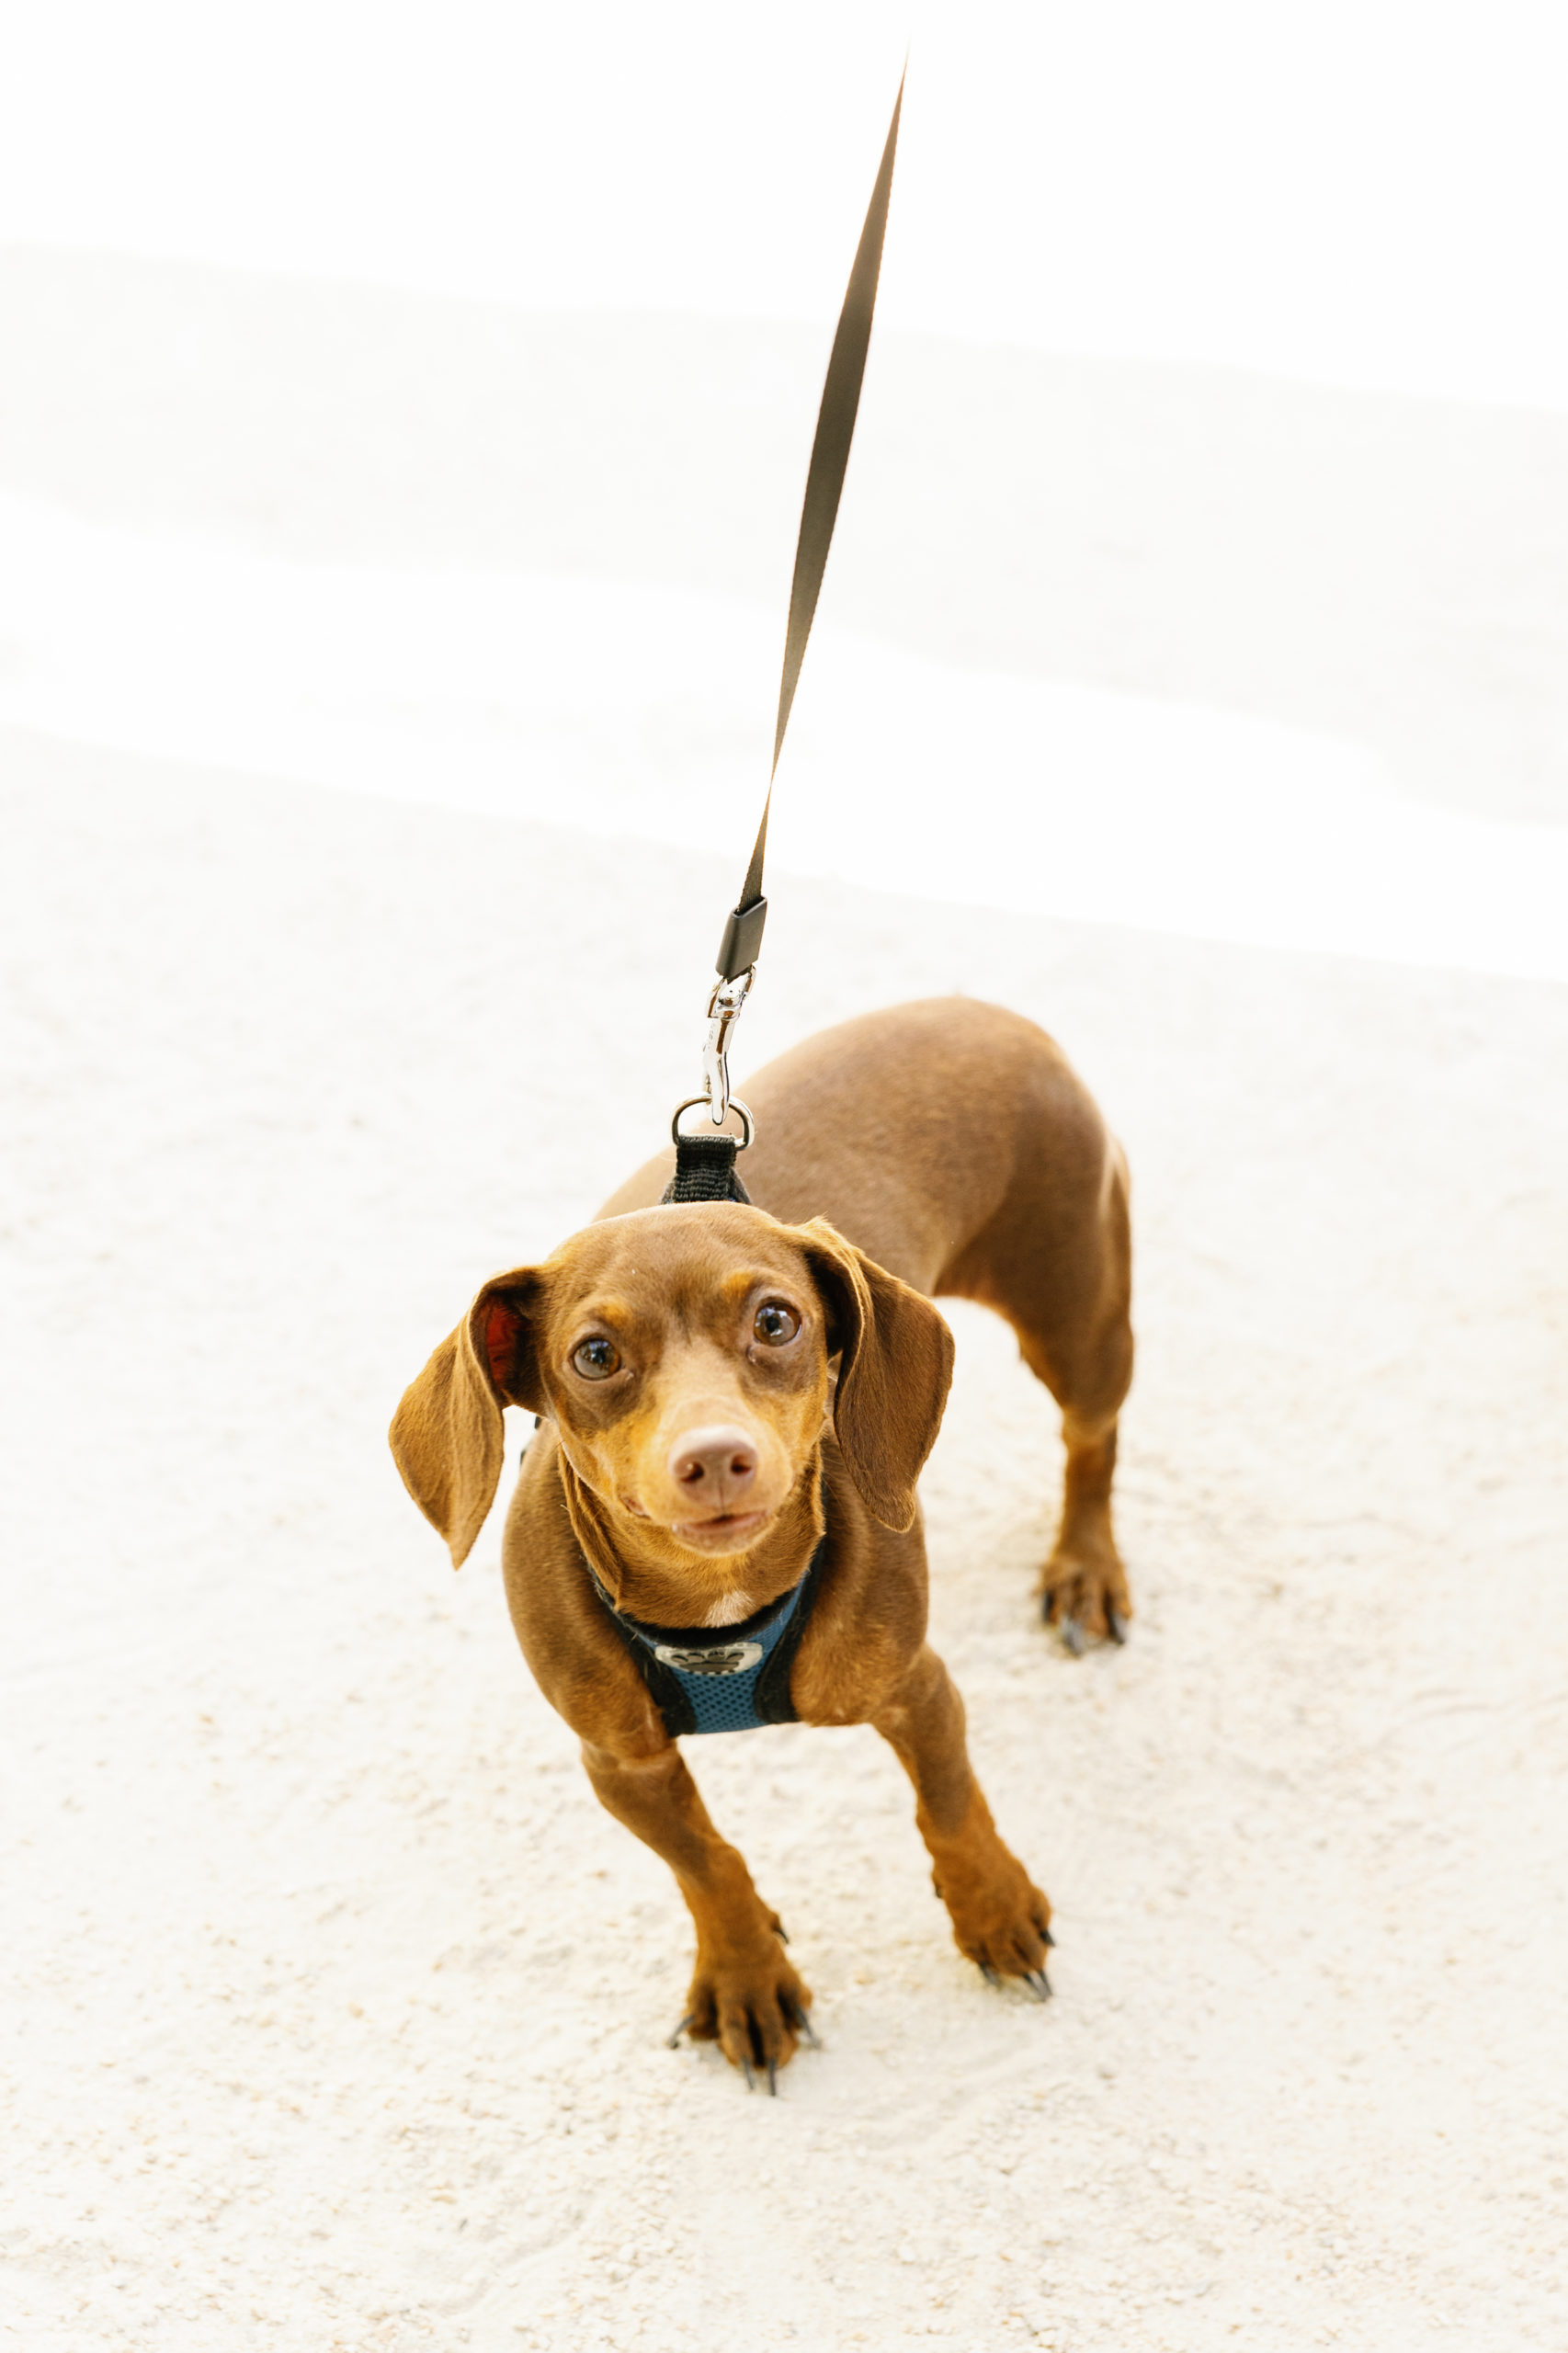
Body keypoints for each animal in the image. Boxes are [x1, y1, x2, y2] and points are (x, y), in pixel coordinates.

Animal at [388, 993, 1125, 2080]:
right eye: (594, 1355)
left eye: (776, 1320)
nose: (715, 1457)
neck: (718, 1615)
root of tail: (980, 1009)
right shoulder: (621, 1765)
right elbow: (706, 1861)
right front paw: (746, 1975)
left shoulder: (916, 1687)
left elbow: (950, 1803)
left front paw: (991, 1907)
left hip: (1079, 1317)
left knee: (1090, 1442)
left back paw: (1084, 1570)